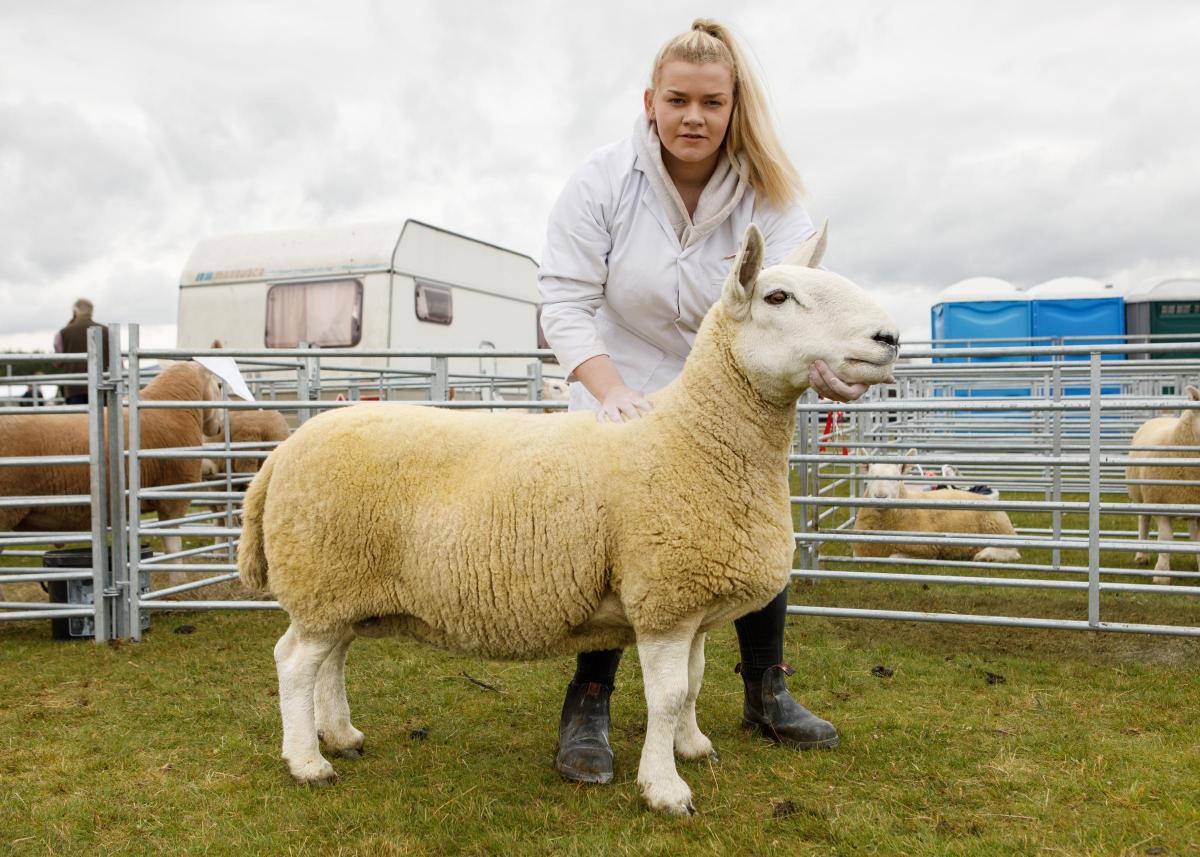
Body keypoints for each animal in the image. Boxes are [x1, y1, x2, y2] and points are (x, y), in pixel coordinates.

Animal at [238, 222, 902, 816]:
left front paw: (692, 746)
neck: (692, 437)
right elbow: (667, 696)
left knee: (332, 659)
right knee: (294, 662)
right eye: (777, 297)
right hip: (323, 572)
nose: (890, 336)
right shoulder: (663, 598)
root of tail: (283, 453)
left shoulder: (693, 602)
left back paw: (340, 735)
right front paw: (664, 787)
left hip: (344, 587)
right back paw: (307, 761)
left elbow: (695, 680)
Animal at [854, 446, 1022, 561]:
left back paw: (986, 555)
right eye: (869, 478)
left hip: (999, 530)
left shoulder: (926, 550)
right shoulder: (860, 552)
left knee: (1013, 552)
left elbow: (893, 557)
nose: (880, 496)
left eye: (897, 479)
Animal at [1123, 386, 1200, 580]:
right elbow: (1166, 538)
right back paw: (1141, 555)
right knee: (1143, 521)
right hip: (1141, 496)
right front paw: (1162, 573)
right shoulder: (1158, 502)